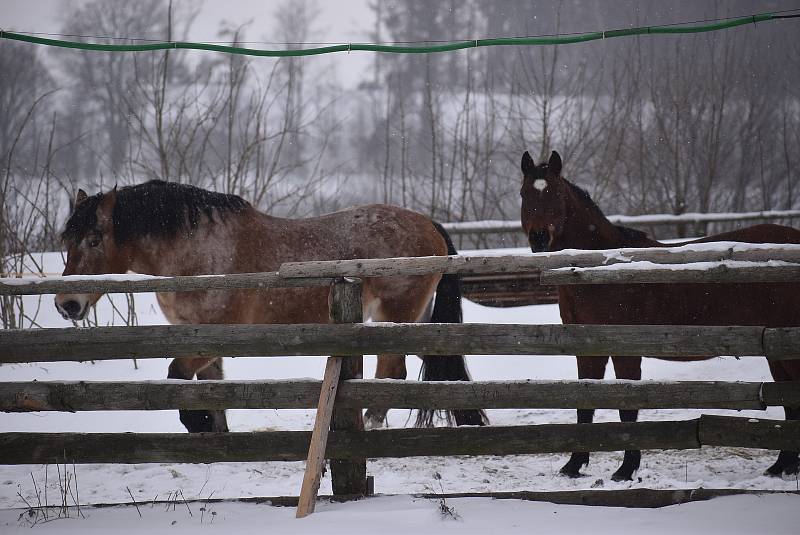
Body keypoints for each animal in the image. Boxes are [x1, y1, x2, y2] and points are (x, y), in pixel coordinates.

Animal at [54, 182, 488, 434]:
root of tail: (428, 224)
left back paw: (368, 426)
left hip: (394, 317)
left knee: (392, 374)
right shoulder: (198, 340)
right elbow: (210, 393)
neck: (198, 254)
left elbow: (178, 377)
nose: (67, 304)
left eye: (94, 239)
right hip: (414, 321)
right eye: (68, 240)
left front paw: (197, 423)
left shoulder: (212, 339)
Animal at [520, 150, 800, 482]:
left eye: (556, 194)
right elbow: (583, 403)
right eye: (524, 194)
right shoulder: (587, 349)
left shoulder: (624, 350)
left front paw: (626, 469)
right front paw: (574, 466)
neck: (598, 269)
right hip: (777, 352)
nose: (539, 238)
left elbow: (627, 407)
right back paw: (781, 466)